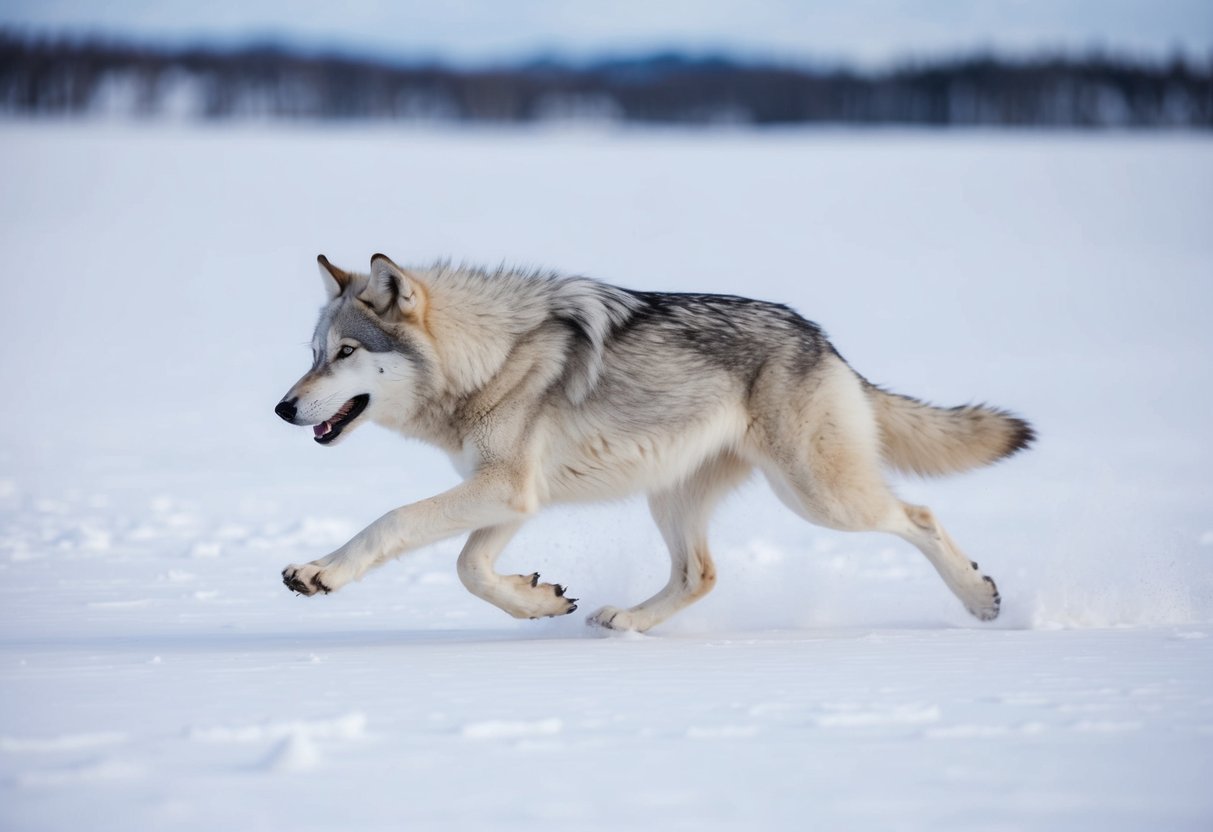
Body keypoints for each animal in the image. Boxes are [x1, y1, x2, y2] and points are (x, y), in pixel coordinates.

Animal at [275, 253, 1033, 632]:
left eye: (345, 353)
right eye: (312, 353)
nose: (282, 408)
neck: (489, 356)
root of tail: (824, 341)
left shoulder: (505, 488)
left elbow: (392, 522)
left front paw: (320, 572)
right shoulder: (515, 496)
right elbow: (470, 569)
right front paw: (539, 602)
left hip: (820, 498)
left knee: (919, 515)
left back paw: (979, 599)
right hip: (673, 498)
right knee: (702, 574)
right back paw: (629, 622)